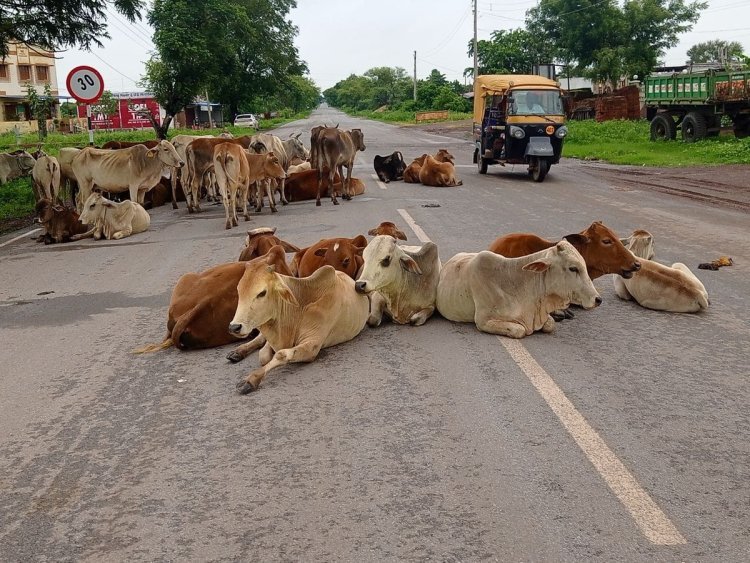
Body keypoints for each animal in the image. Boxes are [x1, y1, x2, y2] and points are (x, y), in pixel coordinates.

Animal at [229, 258, 370, 392]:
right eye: (239, 290)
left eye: (262, 293)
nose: (234, 327)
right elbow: (263, 355)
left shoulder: (312, 346)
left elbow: (280, 354)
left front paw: (250, 379)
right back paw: (237, 351)